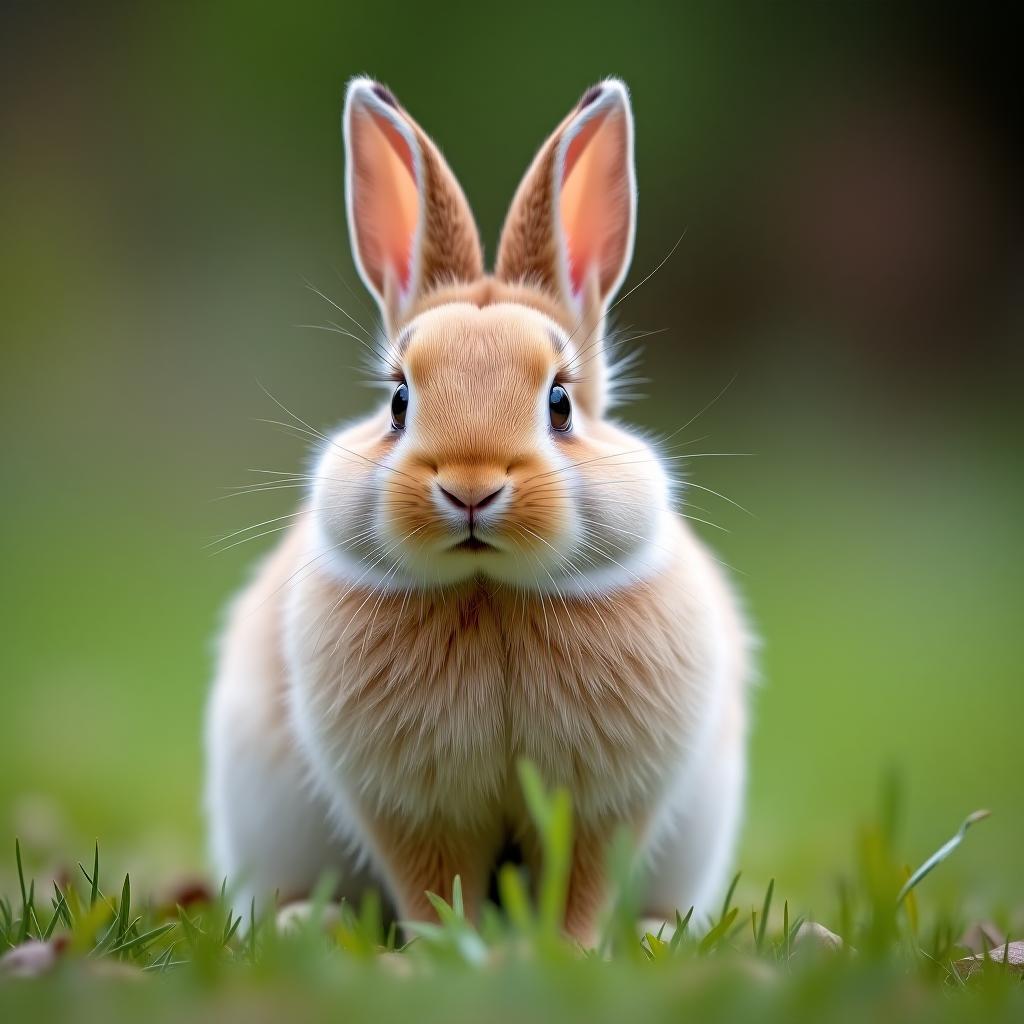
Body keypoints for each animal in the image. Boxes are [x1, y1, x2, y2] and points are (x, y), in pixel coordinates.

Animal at [203, 77, 749, 942]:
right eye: (398, 401)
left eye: (560, 403)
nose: (469, 487)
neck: (488, 591)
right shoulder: (412, 808)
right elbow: (433, 880)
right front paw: (443, 946)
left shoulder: (599, 807)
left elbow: (580, 885)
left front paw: (566, 949)